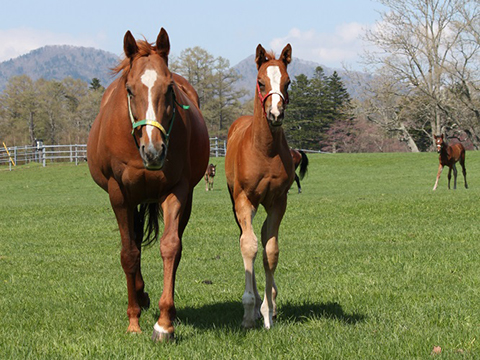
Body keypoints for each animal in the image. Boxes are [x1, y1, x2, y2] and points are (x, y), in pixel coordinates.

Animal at [86, 27, 208, 340]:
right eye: (130, 90)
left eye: (169, 89)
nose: (153, 151)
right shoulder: (119, 195)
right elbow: (129, 253)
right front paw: (133, 320)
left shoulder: (177, 190)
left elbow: (170, 247)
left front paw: (164, 323)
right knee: (135, 245)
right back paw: (139, 296)